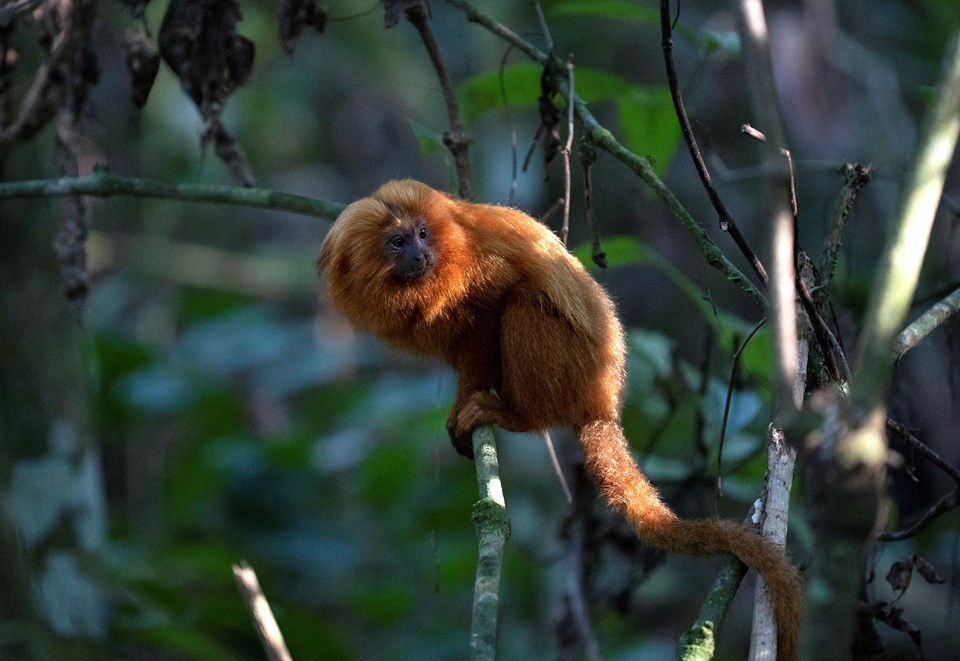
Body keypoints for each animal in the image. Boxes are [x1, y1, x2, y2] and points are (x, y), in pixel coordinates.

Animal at [316, 178, 804, 656]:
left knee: (523, 302)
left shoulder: (475, 267)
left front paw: (467, 399)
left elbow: (494, 305)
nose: (420, 254)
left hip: (572, 367)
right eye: (398, 242)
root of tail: (602, 402)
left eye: (422, 233)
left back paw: (514, 413)